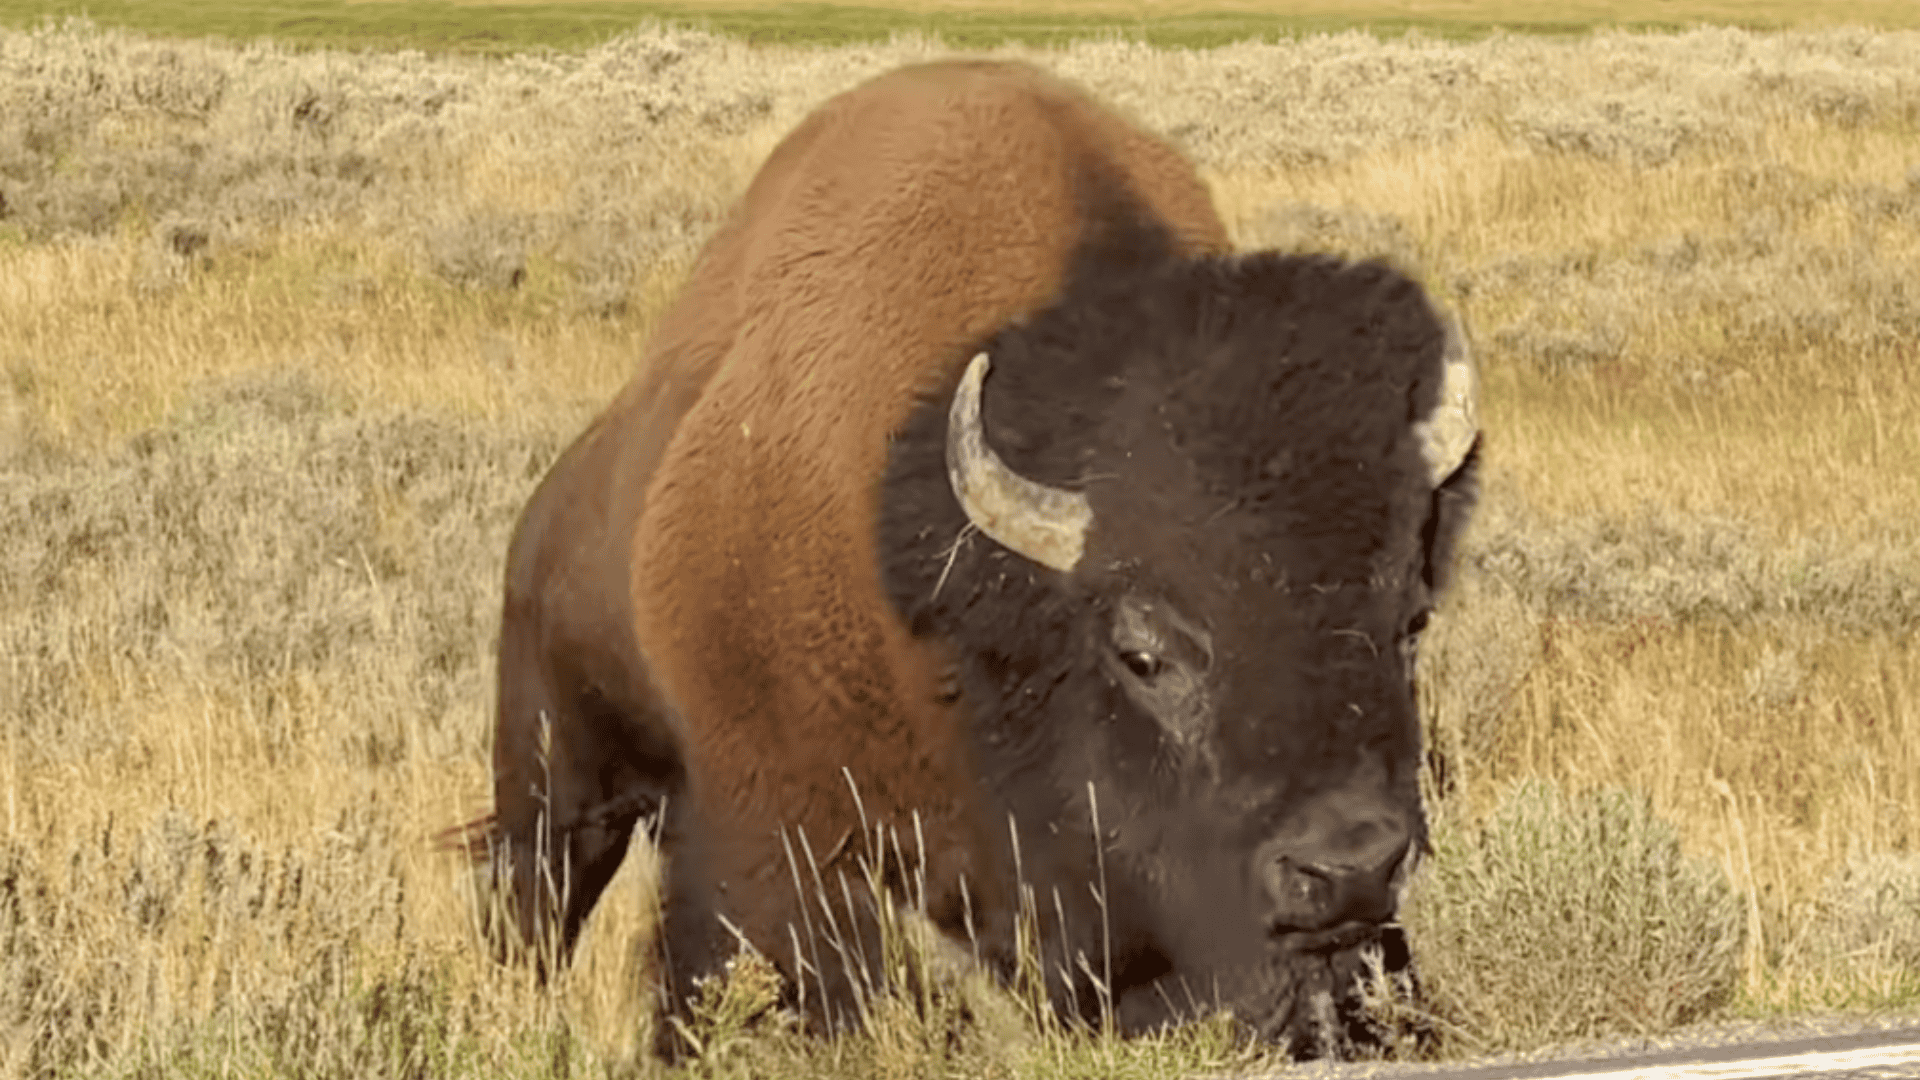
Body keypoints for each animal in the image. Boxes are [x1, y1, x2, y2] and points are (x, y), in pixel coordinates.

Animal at [450, 58, 1480, 1055]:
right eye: (1142, 652)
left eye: (1411, 623)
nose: (1348, 868)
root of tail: (551, 506)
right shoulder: (779, 840)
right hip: (558, 776)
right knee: (538, 900)